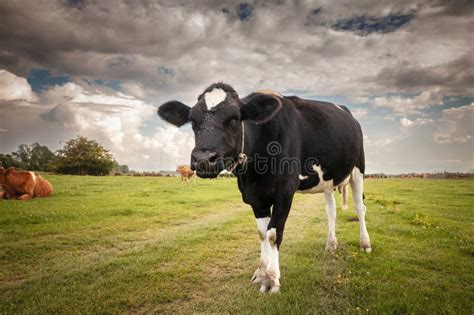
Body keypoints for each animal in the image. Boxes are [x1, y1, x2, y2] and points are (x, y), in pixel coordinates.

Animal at [157, 83, 372, 294]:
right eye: (193, 121)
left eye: (234, 118)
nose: (203, 159)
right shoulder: (255, 197)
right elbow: (262, 233)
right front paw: (261, 274)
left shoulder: (285, 193)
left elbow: (273, 234)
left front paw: (272, 279)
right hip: (327, 180)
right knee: (331, 210)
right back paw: (331, 244)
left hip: (358, 168)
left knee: (360, 207)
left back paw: (365, 243)